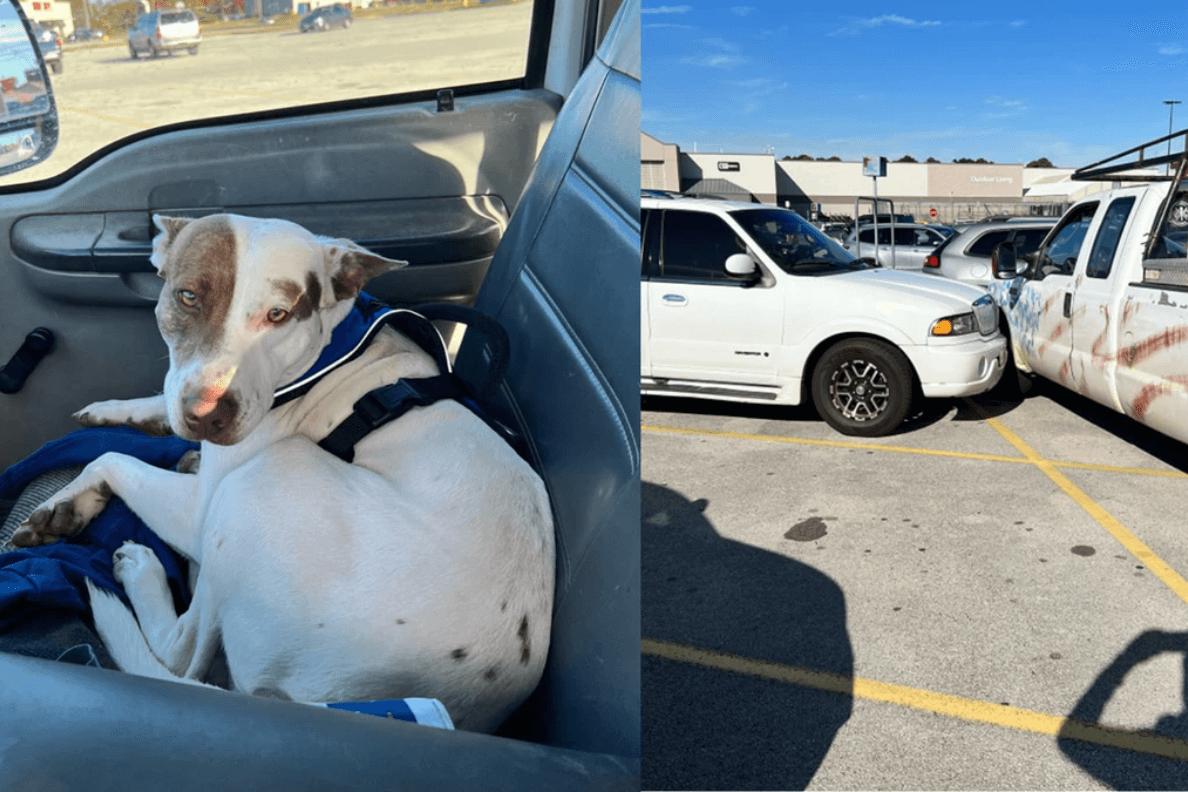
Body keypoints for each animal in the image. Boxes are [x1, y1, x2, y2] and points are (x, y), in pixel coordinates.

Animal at [10, 213, 555, 736]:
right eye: (188, 297)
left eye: (279, 314)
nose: (209, 415)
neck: (327, 354)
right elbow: (157, 405)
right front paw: (113, 417)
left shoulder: (198, 509)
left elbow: (109, 459)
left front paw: (65, 503)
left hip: (259, 484)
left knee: (183, 652)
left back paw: (147, 569)